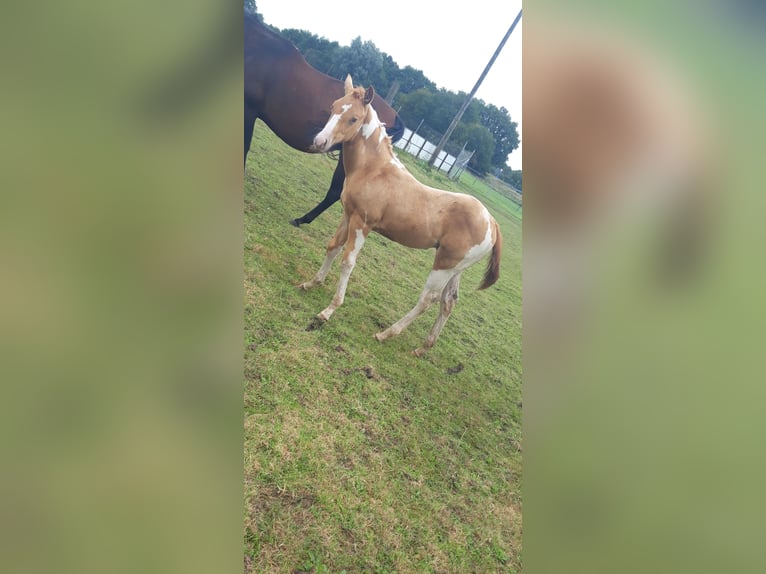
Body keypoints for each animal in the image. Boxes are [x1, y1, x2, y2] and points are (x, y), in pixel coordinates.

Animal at [298, 76, 502, 357]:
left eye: (353, 118)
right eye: (333, 107)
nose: (320, 142)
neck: (374, 169)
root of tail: (491, 222)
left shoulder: (362, 224)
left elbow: (348, 262)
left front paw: (328, 311)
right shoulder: (347, 215)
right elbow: (333, 247)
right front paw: (311, 283)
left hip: (444, 264)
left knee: (428, 299)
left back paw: (386, 334)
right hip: (457, 268)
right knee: (448, 302)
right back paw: (422, 348)